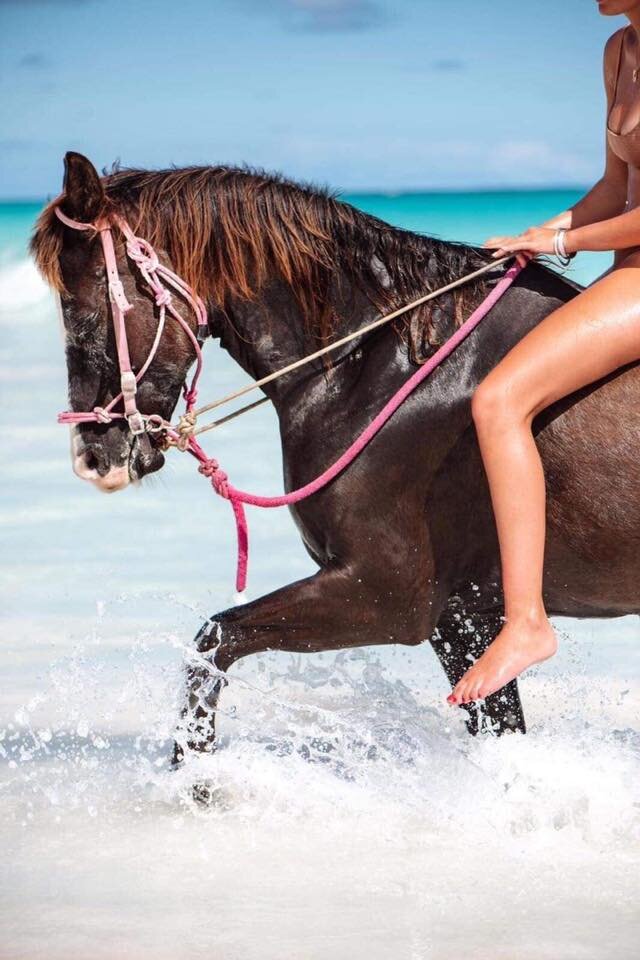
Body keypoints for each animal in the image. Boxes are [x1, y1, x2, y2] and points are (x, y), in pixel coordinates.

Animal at [32, 152, 640, 761]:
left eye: (84, 309)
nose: (92, 458)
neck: (376, 360)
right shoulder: (460, 617)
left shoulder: (388, 595)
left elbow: (213, 641)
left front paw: (195, 773)